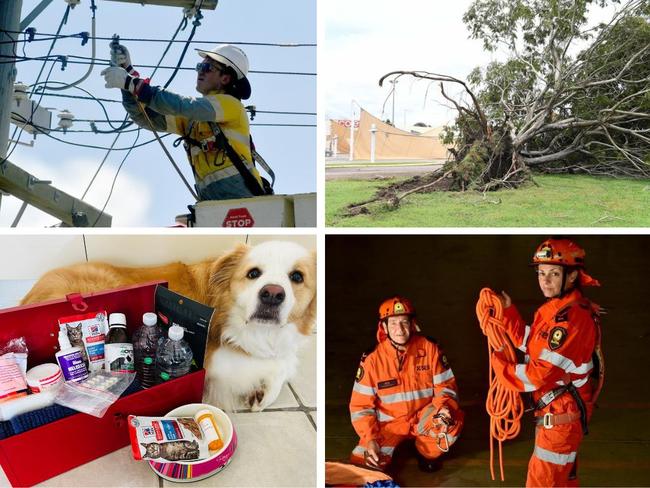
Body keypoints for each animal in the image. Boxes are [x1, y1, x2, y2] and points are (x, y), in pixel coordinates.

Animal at [24, 240, 318, 412]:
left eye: (297, 277)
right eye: (253, 273)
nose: (272, 294)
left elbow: (285, 363)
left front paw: (264, 392)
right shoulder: (214, 357)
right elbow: (277, 364)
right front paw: (262, 392)